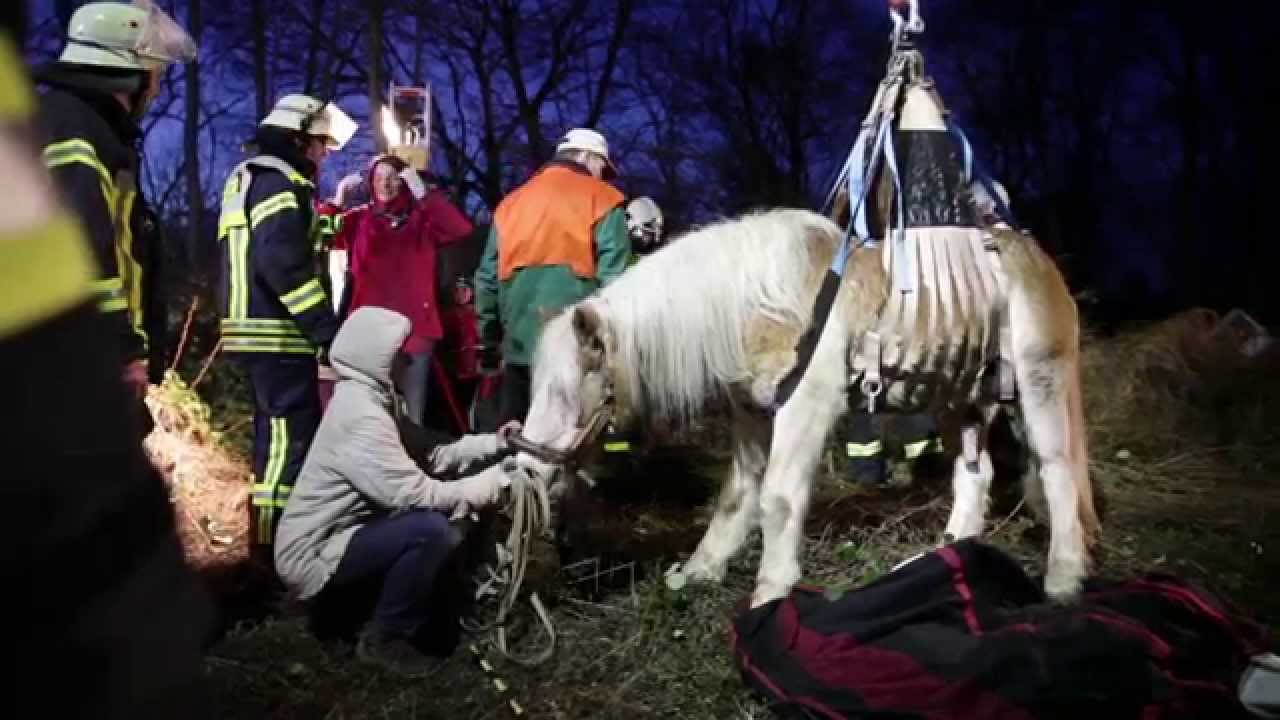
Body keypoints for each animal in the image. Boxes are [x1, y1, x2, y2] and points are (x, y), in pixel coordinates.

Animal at [509, 202, 1100, 609]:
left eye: (565, 393)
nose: (526, 467)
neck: (755, 302)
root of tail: (1035, 257)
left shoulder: (805, 408)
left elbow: (778, 498)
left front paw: (771, 590)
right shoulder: (751, 415)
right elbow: (736, 497)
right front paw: (699, 571)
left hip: (1039, 380)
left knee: (1057, 471)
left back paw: (1063, 578)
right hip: (961, 400)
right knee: (975, 474)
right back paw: (952, 550)